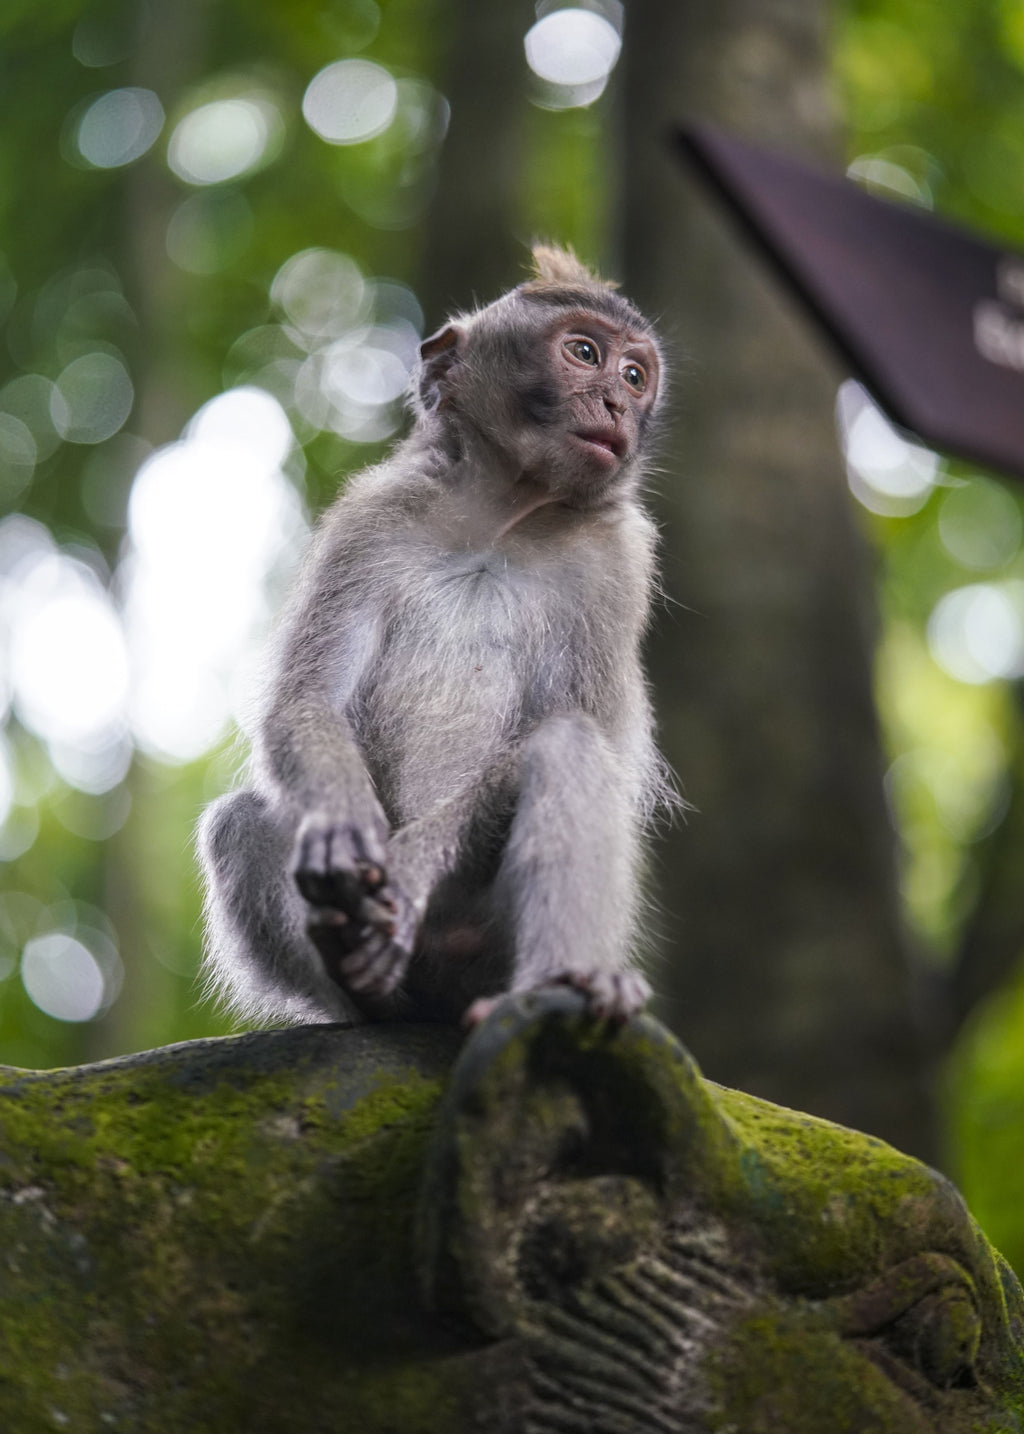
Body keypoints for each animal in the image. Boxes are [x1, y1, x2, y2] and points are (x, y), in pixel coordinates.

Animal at [199, 244, 673, 1028]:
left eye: (635, 377)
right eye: (585, 353)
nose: (617, 406)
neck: (501, 520)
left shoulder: (616, 566)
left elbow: (582, 731)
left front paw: (410, 865)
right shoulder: (371, 521)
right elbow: (306, 701)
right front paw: (341, 827)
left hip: (485, 941)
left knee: (567, 747)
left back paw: (567, 982)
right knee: (237, 822)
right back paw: (365, 984)